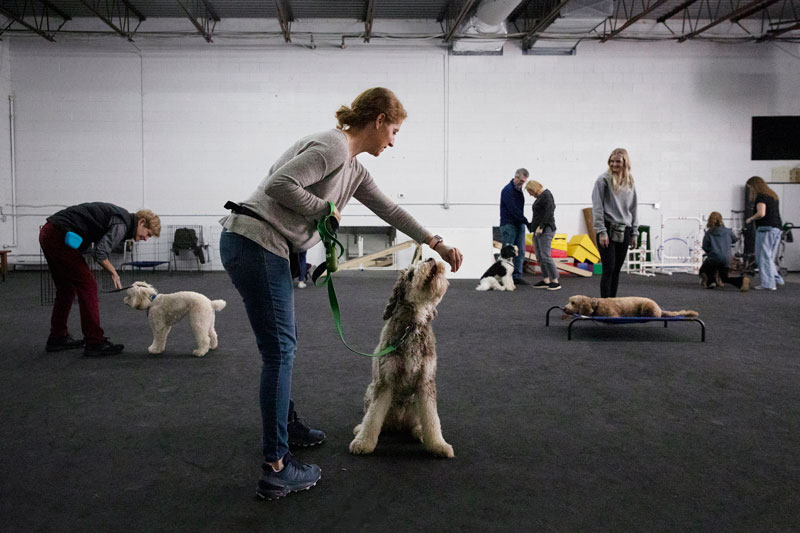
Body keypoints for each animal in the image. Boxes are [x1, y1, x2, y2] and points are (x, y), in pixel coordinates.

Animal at [348, 258, 454, 458]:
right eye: (411, 274)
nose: (430, 259)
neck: (412, 326)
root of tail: (398, 423)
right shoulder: (385, 381)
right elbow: (373, 417)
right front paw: (363, 443)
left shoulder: (426, 383)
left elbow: (432, 418)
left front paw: (438, 445)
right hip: (370, 390)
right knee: (372, 418)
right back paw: (359, 429)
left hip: (413, 405)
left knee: (417, 424)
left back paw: (419, 432)